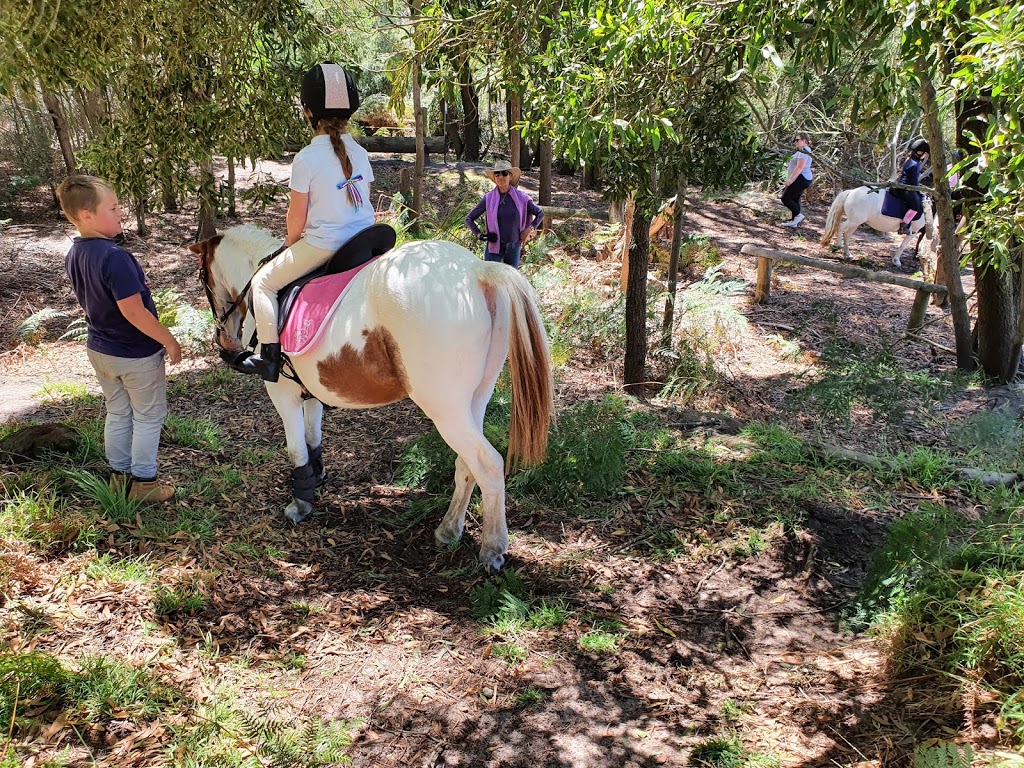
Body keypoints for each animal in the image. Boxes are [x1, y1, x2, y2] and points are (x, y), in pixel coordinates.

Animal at [191, 225, 552, 573]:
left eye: (203, 277)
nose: (224, 340)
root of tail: (477, 271)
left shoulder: (282, 394)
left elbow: (296, 449)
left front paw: (300, 504)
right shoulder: (310, 391)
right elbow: (313, 437)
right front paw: (316, 478)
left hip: (445, 409)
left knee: (488, 465)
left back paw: (492, 549)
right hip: (474, 400)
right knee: (467, 463)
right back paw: (449, 530)